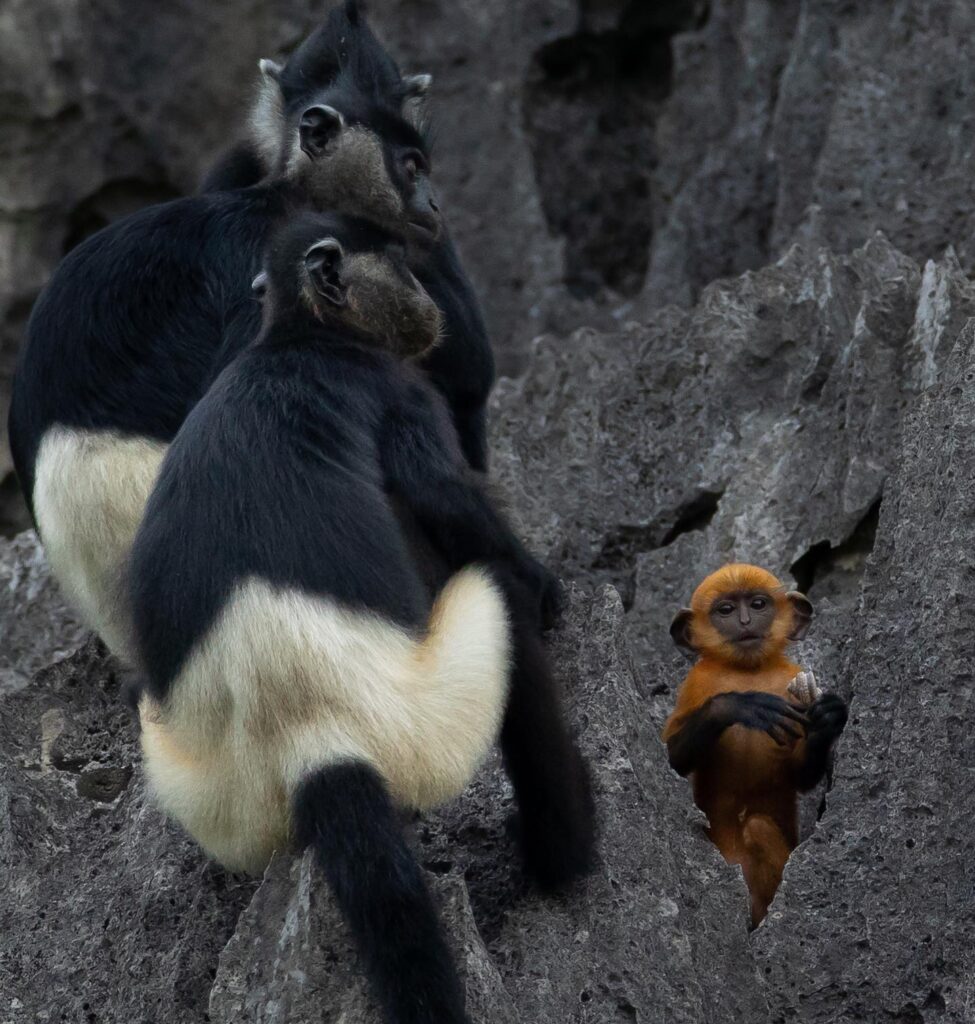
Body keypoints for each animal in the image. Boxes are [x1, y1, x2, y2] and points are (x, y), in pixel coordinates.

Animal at [663, 565, 843, 925]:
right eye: (726, 610)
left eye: (758, 604)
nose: (745, 622)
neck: (747, 672)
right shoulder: (694, 686)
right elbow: (671, 762)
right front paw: (737, 706)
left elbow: (800, 775)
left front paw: (827, 720)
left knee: (758, 827)